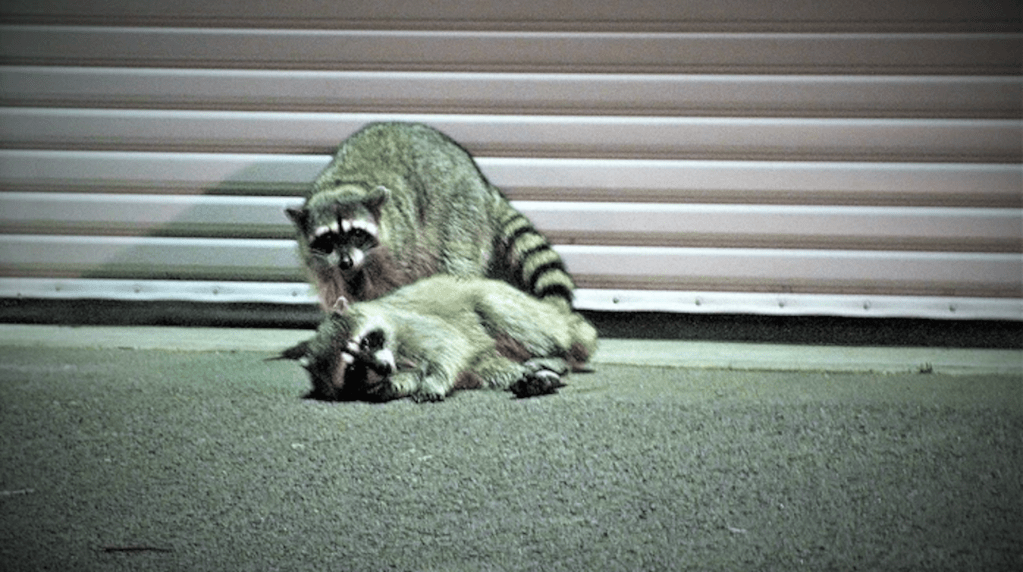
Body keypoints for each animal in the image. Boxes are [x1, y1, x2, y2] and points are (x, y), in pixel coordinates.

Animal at [272, 274, 597, 401]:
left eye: (367, 342)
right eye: (352, 369)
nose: (383, 368)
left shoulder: (409, 325)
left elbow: (449, 344)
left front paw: (434, 380)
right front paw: (394, 384)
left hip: (518, 307)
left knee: (493, 309)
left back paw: (555, 358)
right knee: (492, 369)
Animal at [286, 120, 576, 311]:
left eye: (356, 233)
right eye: (328, 238)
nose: (346, 262)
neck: (342, 185)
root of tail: (482, 184)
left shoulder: (399, 248)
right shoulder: (319, 263)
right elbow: (333, 289)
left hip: (461, 214)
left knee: (455, 264)